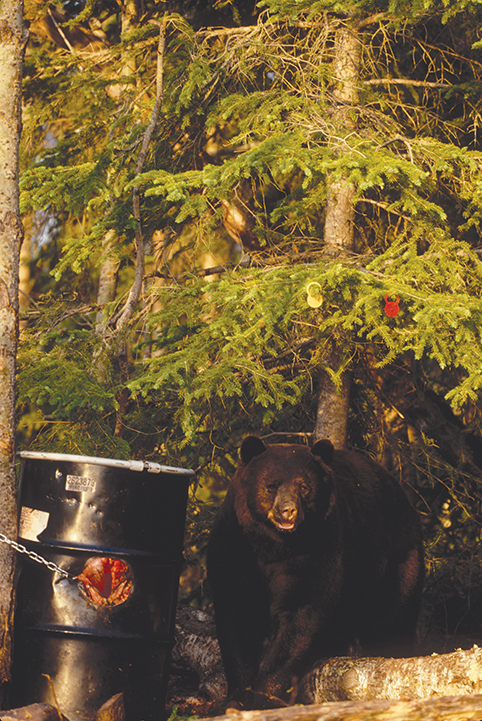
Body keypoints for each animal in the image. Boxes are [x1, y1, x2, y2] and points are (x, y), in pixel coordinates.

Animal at [207, 436, 426, 704]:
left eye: (303, 487)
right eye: (271, 485)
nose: (287, 510)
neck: (274, 546)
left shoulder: (318, 548)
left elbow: (304, 610)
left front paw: (264, 693)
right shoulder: (236, 545)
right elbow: (237, 611)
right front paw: (240, 692)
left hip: (392, 562)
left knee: (391, 618)